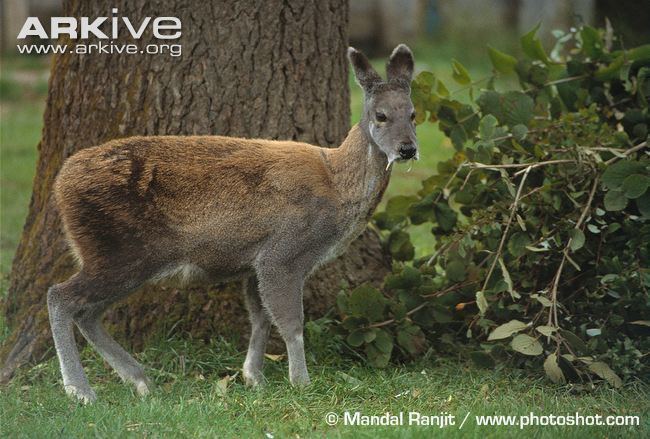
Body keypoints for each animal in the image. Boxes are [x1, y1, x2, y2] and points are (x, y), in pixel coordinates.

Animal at [48, 43, 418, 402]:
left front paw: (254, 377)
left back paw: (139, 380)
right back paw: (81, 390)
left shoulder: (256, 261)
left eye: (413, 114)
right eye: (381, 115)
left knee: (88, 313)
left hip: (124, 258)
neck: (337, 186)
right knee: (60, 297)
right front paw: (301, 382)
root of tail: (60, 184)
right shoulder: (284, 250)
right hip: (117, 251)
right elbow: (290, 322)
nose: (408, 149)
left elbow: (261, 318)